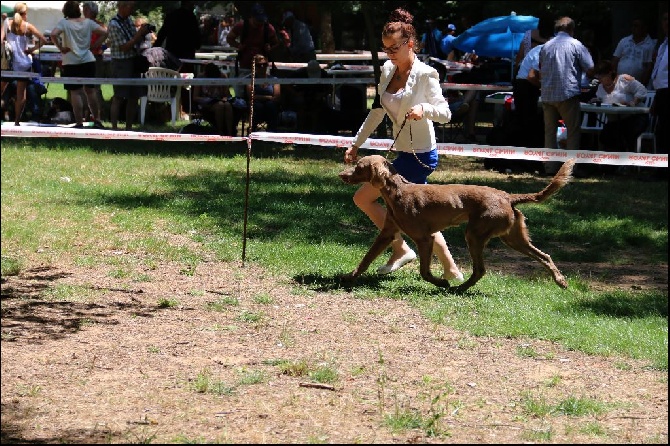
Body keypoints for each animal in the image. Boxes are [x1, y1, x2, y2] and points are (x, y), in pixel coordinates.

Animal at [342, 156, 576, 292]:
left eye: (359, 167)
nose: (341, 174)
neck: (397, 192)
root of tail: (508, 196)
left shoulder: (424, 238)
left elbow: (424, 271)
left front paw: (442, 282)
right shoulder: (387, 233)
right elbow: (366, 259)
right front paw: (348, 277)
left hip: (475, 234)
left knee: (480, 270)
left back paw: (458, 289)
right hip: (512, 238)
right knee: (545, 256)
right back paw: (561, 281)